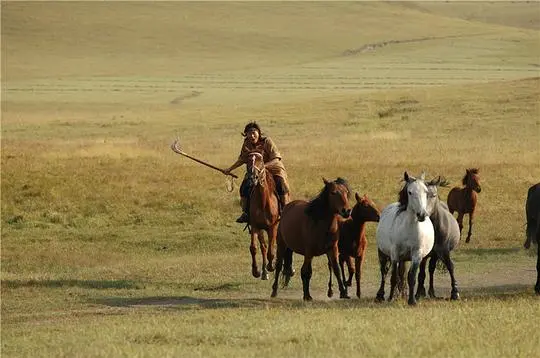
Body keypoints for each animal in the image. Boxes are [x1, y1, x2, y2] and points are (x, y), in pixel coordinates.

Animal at [244, 151, 278, 280]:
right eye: (248, 161)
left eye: (261, 160)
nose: (252, 178)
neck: (263, 202)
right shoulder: (255, 226)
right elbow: (254, 248)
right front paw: (256, 271)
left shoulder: (273, 227)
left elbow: (271, 251)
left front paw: (271, 266)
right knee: (263, 247)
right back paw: (264, 272)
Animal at [378, 172, 436, 306]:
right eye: (410, 192)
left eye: (426, 191)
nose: (421, 215)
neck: (408, 228)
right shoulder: (394, 255)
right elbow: (394, 277)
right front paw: (390, 298)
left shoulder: (416, 255)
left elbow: (411, 277)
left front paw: (412, 300)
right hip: (383, 254)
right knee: (384, 273)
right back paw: (382, 295)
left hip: (408, 259)